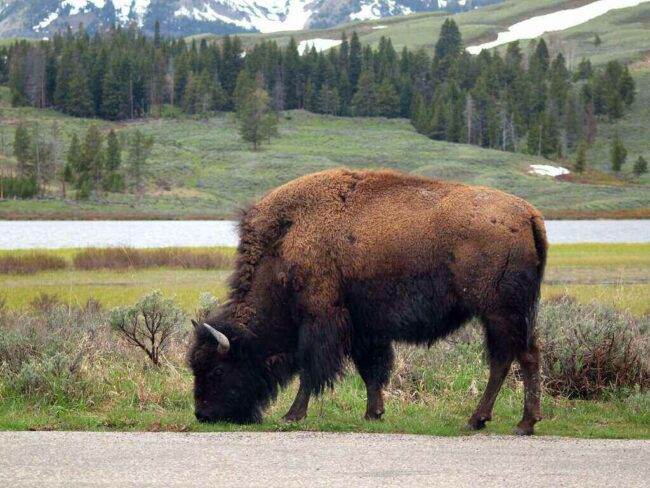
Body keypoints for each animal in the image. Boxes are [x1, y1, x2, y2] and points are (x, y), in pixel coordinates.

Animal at [189, 168, 547, 434]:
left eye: (217, 370)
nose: (203, 414)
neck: (284, 245)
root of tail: (529, 214)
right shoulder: (364, 327)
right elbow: (371, 369)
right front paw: (373, 413)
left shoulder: (320, 318)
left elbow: (311, 370)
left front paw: (292, 414)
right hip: (514, 314)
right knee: (520, 356)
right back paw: (508, 421)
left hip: (499, 312)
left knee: (511, 359)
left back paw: (500, 422)